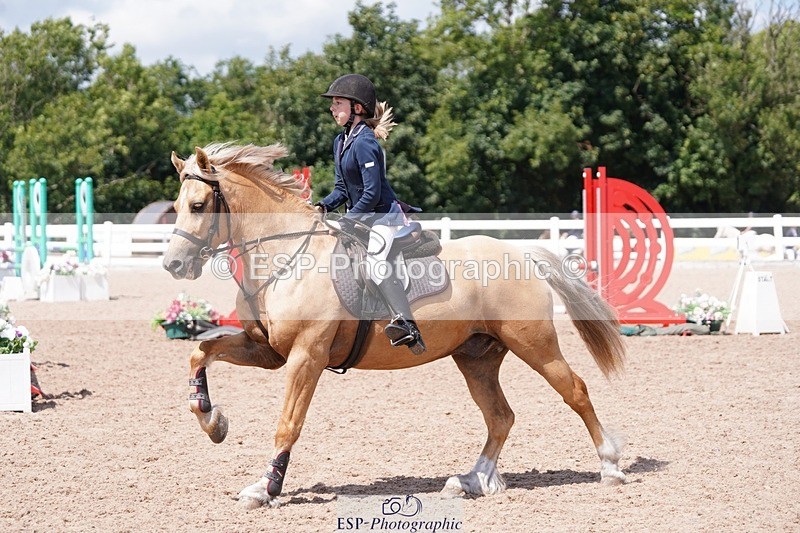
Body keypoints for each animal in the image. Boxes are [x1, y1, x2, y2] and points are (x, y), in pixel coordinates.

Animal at [163, 143, 627, 509]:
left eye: (199, 206)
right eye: (178, 207)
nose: (173, 265)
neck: (285, 257)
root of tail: (520, 253)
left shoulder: (306, 356)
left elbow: (288, 422)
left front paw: (265, 487)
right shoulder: (267, 350)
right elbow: (200, 352)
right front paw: (212, 420)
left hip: (535, 344)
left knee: (575, 391)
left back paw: (609, 465)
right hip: (476, 357)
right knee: (500, 417)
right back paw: (470, 480)